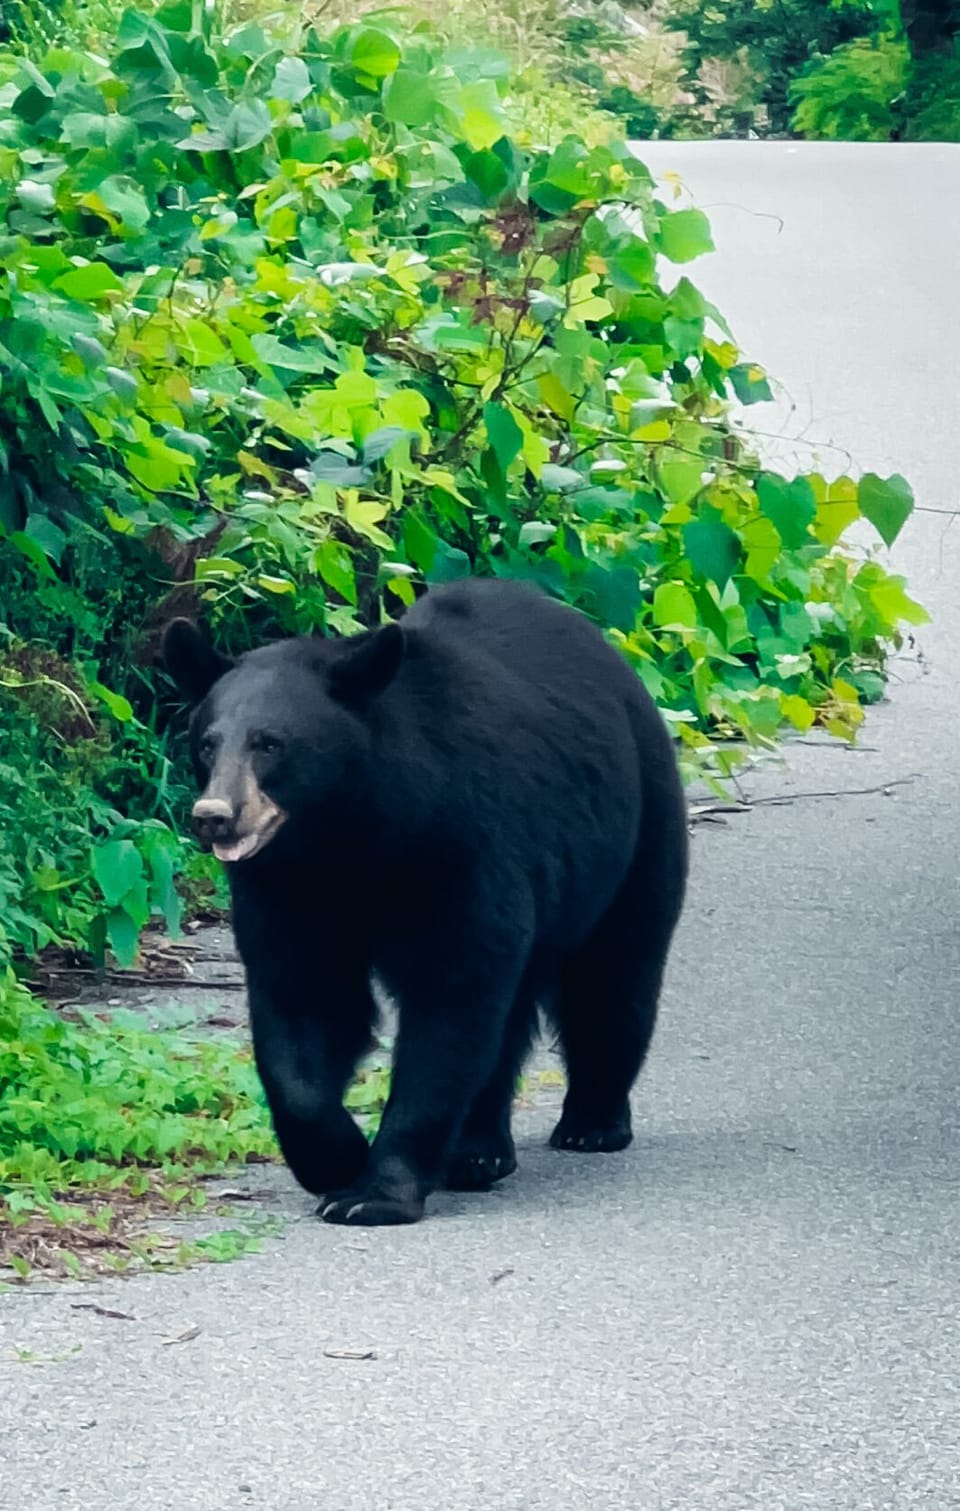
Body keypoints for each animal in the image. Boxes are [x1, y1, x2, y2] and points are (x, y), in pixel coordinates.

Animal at [163, 578, 688, 1225]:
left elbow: (449, 1004)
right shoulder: (287, 887)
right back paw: (480, 1152)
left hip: (635, 831)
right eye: (208, 744)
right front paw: (336, 1157)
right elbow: (303, 1002)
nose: (215, 816)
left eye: (270, 744)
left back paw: (591, 1122)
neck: (351, 834)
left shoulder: (462, 849)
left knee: (612, 976)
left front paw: (373, 1193)